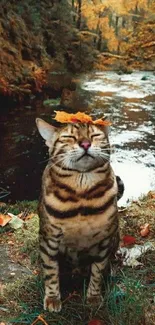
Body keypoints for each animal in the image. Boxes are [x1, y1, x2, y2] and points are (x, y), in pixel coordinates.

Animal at [36, 117, 123, 312]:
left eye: (95, 135)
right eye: (69, 137)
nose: (85, 143)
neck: (81, 194)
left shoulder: (104, 240)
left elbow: (97, 271)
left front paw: (93, 297)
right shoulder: (49, 239)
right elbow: (51, 271)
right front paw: (52, 298)